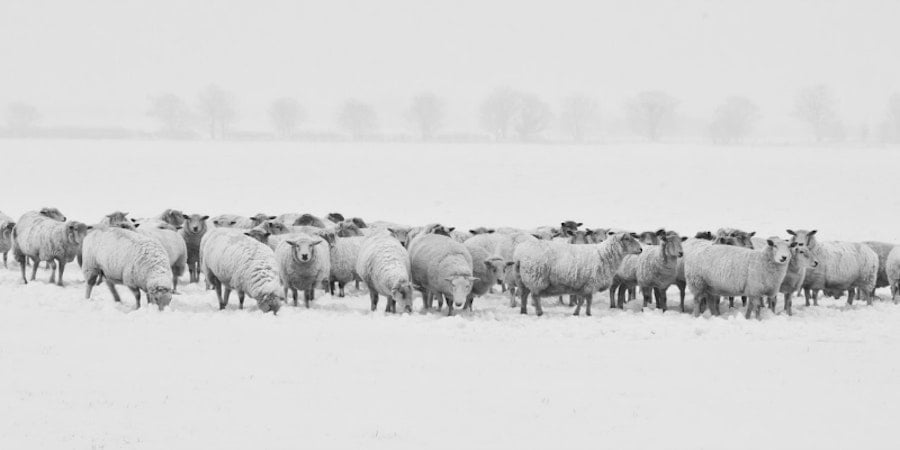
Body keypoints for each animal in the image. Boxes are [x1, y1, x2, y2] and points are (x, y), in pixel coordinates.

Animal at [514, 232, 643, 316]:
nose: (641, 249)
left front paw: (581, 312)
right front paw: (586, 313)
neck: (604, 255)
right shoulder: (590, 284)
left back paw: (523, 311)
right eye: (628, 239)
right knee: (535, 297)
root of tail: (520, 255)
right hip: (535, 278)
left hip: (522, 279)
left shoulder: (583, 285)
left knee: (524, 295)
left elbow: (584, 300)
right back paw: (539, 312)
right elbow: (586, 300)